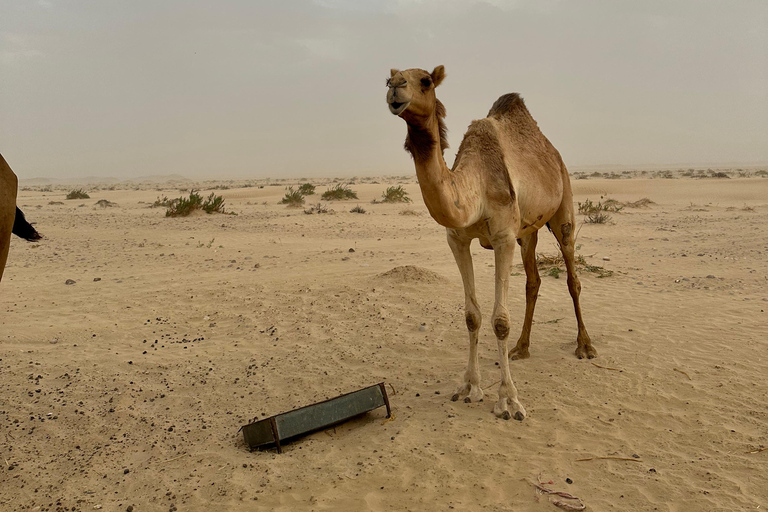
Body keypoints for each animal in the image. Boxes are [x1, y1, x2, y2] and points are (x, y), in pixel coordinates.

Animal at [388, 67, 596, 420]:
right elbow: (472, 316)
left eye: (425, 81)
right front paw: (469, 387)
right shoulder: (457, 239)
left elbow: (500, 321)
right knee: (533, 281)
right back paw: (522, 348)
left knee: (572, 277)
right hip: (528, 232)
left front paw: (509, 401)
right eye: (388, 79)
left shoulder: (503, 237)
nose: (395, 89)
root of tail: (554, 154)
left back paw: (584, 345)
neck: (476, 186)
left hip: (563, 205)